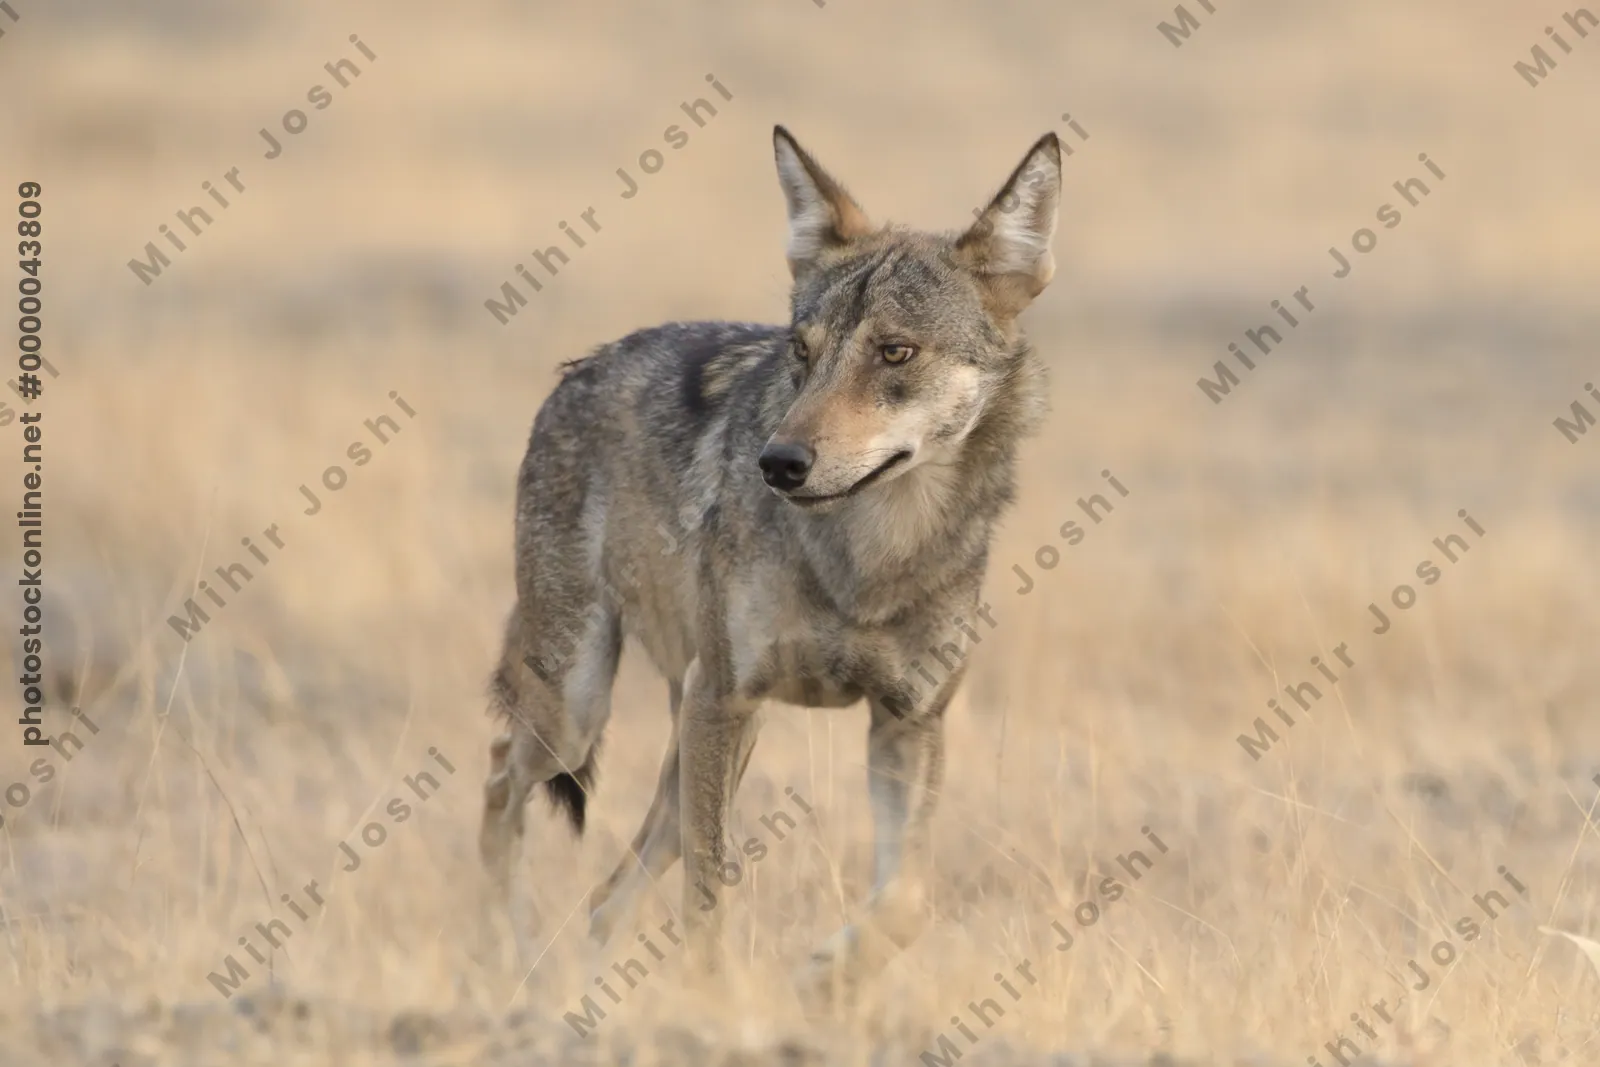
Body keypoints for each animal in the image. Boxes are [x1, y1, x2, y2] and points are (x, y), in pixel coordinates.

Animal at [478, 125, 1062, 999]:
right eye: (802, 351)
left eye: (895, 352)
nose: (778, 462)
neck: (871, 557)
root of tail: (581, 367)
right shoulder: (725, 698)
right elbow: (710, 897)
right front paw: (717, 1002)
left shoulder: (908, 722)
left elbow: (907, 900)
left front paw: (822, 980)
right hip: (583, 713)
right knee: (499, 782)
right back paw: (500, 952)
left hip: (689, 739)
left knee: (607, 894)